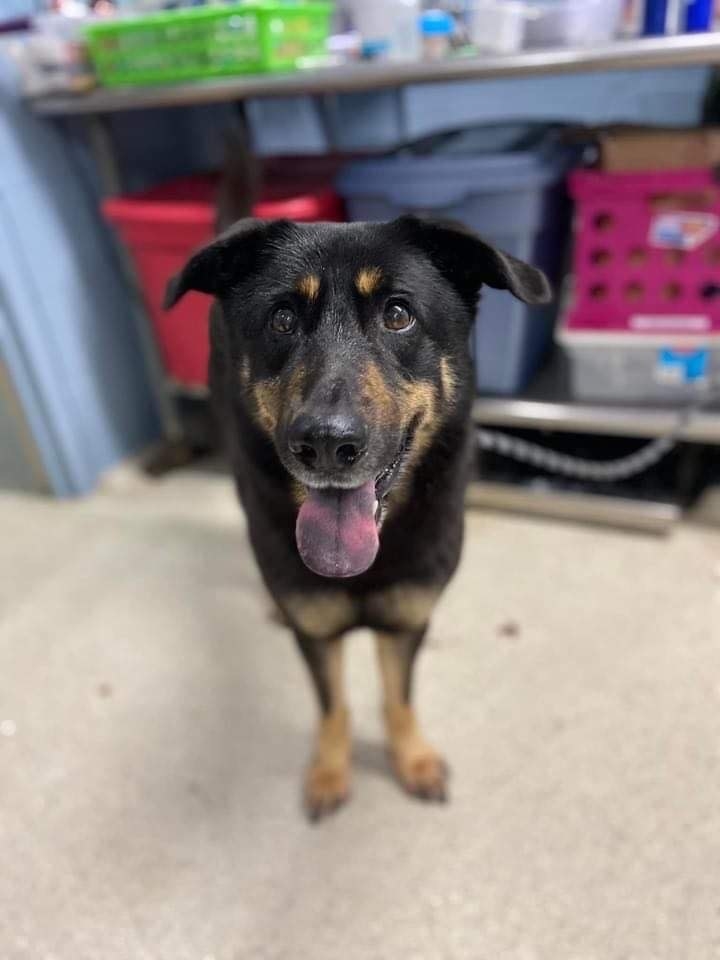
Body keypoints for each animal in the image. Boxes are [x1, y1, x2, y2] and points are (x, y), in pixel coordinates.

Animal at [166, 216, 548, 816]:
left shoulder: (406, 622)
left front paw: (413, 759)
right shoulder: (316, 632)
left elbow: (398, 697)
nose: (325, 444)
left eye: (398, 314)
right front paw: (328, 771)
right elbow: (333, 706)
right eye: (282, 319)